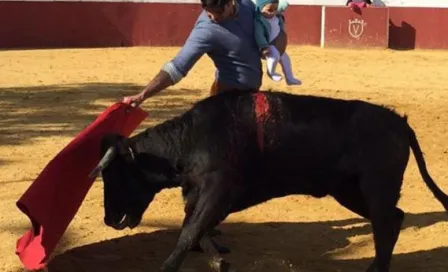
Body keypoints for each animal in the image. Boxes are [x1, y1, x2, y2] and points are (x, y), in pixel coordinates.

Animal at [88, 91, 448, 272]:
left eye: (115, 174)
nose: (108, 219)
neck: (193, 139)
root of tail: (400, 122)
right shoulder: (200, 195)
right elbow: (195, 229)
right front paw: (219, 261)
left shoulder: (219, 191)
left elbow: (189, 232)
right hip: (348, 190)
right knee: (393, 219)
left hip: (376, 186)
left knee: (385, 222)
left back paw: (376, 269)